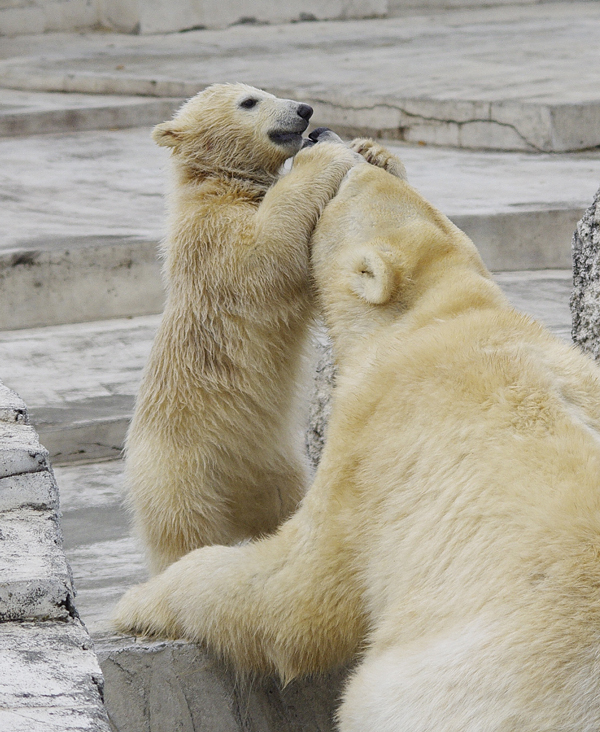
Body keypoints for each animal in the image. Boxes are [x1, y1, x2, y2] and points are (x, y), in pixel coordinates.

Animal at [113, 134, 600, 728]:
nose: (322, 134)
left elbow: (295, 589)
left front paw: (139, 603)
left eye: (347, 183)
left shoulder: (372, 448)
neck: (435, 317)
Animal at [126, 84, 360, 572]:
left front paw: (376, 154)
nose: (304, 110)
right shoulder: (212, 238)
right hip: (179, 477)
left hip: (274, 466)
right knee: (183, 538)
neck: (219, 184)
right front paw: (325, 156)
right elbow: (266, 253)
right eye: (250, 101)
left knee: (285, 506)